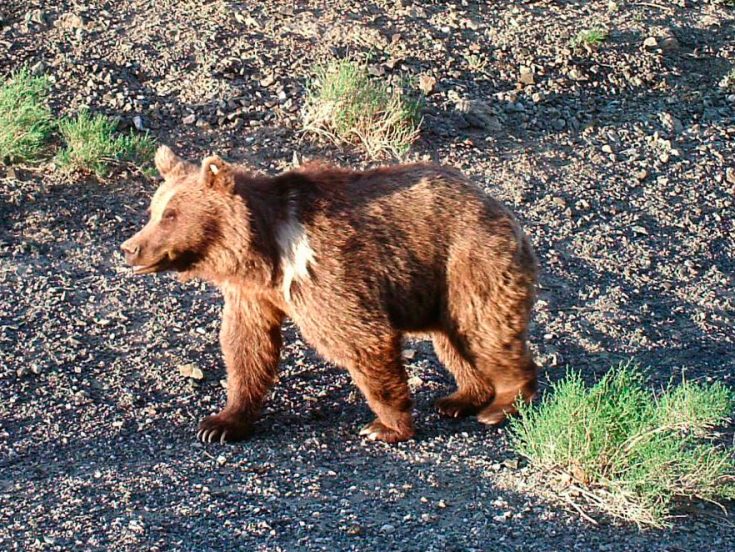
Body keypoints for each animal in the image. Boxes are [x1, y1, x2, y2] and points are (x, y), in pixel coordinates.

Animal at [119, 146, 536, 444]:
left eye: (171, 215)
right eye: (154, 210)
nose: (129, 249)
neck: (266, 254)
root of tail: (500, 208)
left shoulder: (324, 269)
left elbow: (361, 337)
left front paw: (385, 426)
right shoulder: (252, 295)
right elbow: (246, 346)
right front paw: (220, 423)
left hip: (467, 261)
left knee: (484, 328)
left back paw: (504, 403)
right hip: (437, 287)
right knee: (454, 340)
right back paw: (460, 398)